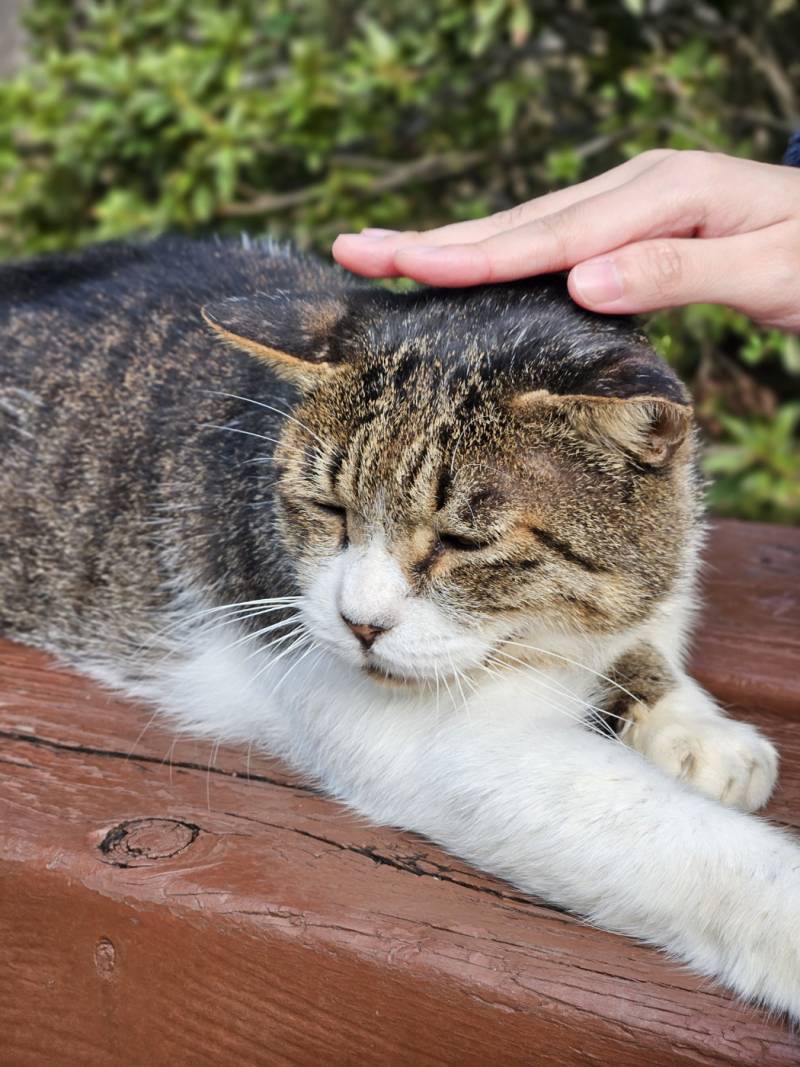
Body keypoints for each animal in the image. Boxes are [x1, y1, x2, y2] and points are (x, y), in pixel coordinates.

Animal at [0, 237, 797, 1020]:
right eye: (329, 509)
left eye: (462, 543)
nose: (360, 623)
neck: (538, 638)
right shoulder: (445, 745)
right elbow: (684, 843)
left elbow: (645, 638)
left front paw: (699, 730)